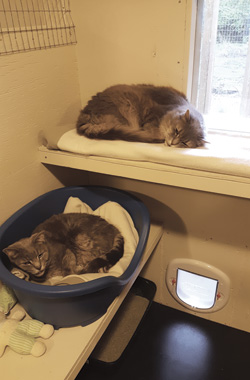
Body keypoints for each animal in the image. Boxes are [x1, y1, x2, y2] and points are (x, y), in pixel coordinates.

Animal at [76, 84, 205, 148]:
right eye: (177, 131)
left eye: (184, 143)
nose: (173, 143)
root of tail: (84, 115)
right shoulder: (152, 114)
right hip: (128, 107)